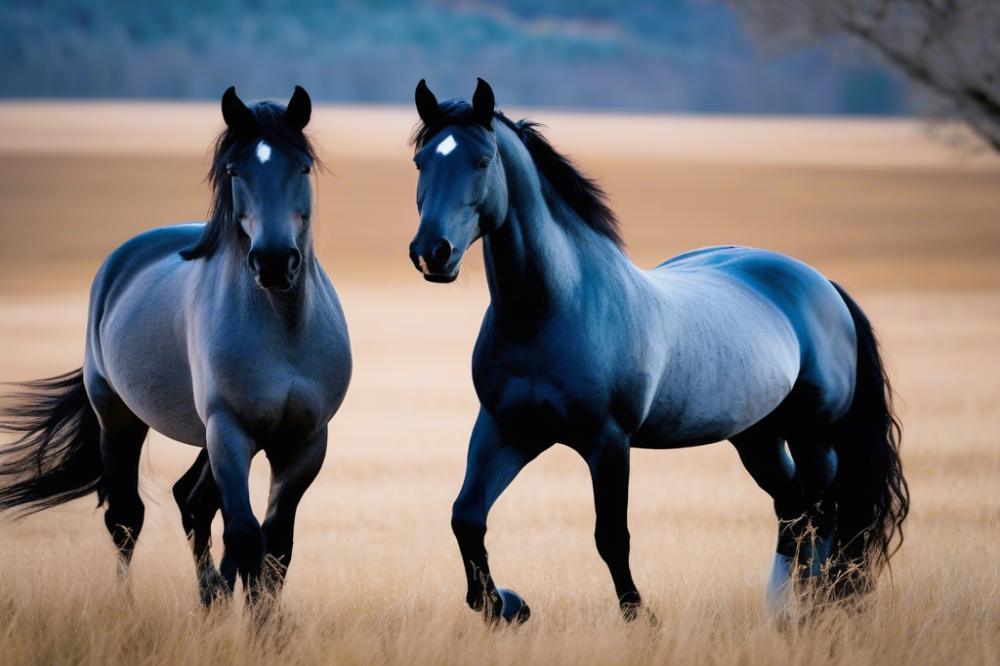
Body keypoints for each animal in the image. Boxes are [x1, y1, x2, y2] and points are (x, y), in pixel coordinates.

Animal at [0, 86, 352, 611]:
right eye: (235, 171)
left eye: (303, 166)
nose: (273, 262)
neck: (284, 330)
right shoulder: (228, 431)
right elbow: (246, 535)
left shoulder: (305, 442)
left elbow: (278, 545)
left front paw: (265, 622)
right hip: (119, 418)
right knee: (126, 517)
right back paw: (127, 608)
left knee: (192, 502)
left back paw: (211, 602)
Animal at [407, 78, 909, 624]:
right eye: (420, 162)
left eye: (481, 161)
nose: (431, 253)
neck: (550, 309)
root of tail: (822, 286)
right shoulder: (506, 429)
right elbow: (467, 517)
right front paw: (502, 606)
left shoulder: (608, 442)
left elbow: (611, 537)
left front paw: (639, 618)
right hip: (758, 437)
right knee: (793, 511)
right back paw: (780, 612)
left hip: (813, 435)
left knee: (821, 514)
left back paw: (815, 606)